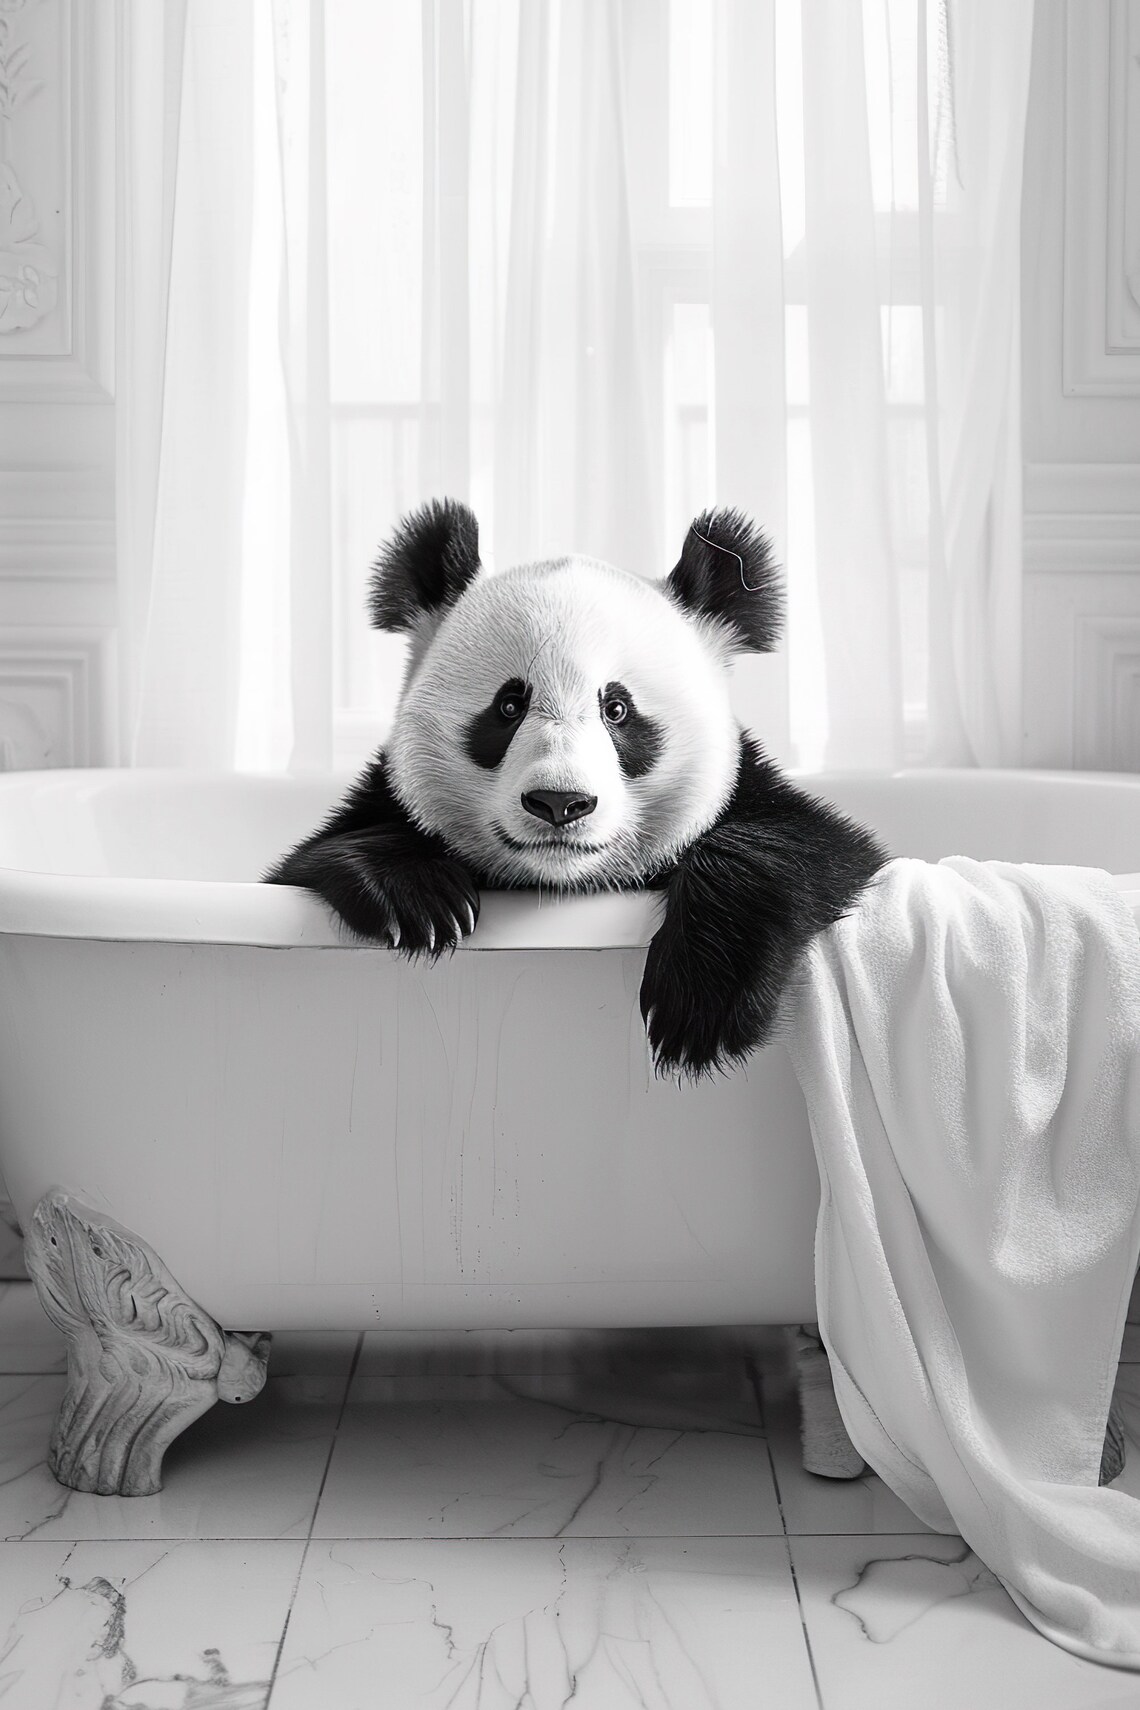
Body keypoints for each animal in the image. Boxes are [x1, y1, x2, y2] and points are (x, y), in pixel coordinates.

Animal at [266, 498, 888, 1077]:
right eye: (508, 707)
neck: (558, 886)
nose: (560, 803)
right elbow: (316, 857)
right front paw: (420, 898)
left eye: (617, 710)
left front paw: (699, 1003)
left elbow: (806, 846)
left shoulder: (758, 795)